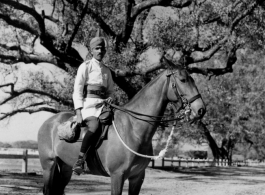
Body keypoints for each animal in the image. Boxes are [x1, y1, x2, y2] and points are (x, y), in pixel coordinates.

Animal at [38, 66, 205, 194]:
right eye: (183, 80)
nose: (201, 110)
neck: (134, 129)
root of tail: (48, 122)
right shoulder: (117, 176)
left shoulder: (137, 177)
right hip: (48, 166)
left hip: (65, 167)